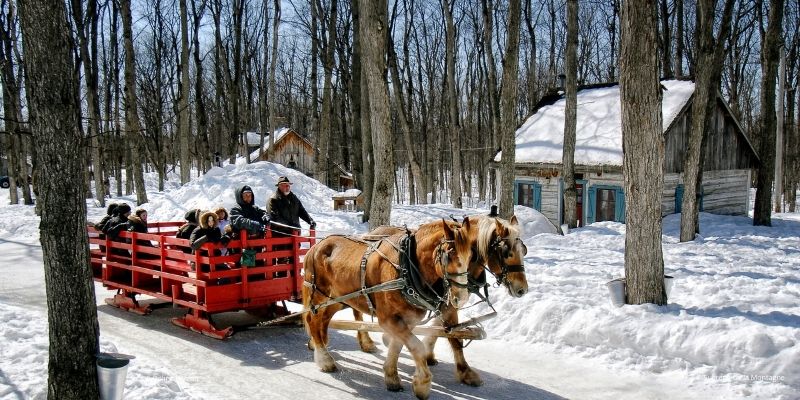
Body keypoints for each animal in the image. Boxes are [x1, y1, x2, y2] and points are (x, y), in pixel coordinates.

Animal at [300, 219, 476, 400]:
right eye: (449, 255)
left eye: (471, 256)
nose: (462, 296)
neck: (406, 267)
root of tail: (316, 246)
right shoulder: (387, 319)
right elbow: (417, 346)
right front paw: (423, 383)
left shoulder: (407, 319)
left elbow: (397, 346)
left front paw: (391, 377)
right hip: (319, 295)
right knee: (313, 320)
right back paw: (324, 359)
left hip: (339, 298)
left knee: (324, 318)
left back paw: (320, 344)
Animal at [348, 214, 524, 386]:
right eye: (507, 253)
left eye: (524, 251)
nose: (522, 289)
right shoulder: (446, 303)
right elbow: (452, 336)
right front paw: (464, 371)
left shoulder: (448, 302)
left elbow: (445, 330)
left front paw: (430, 355)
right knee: (357, 310)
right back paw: (367, 342)